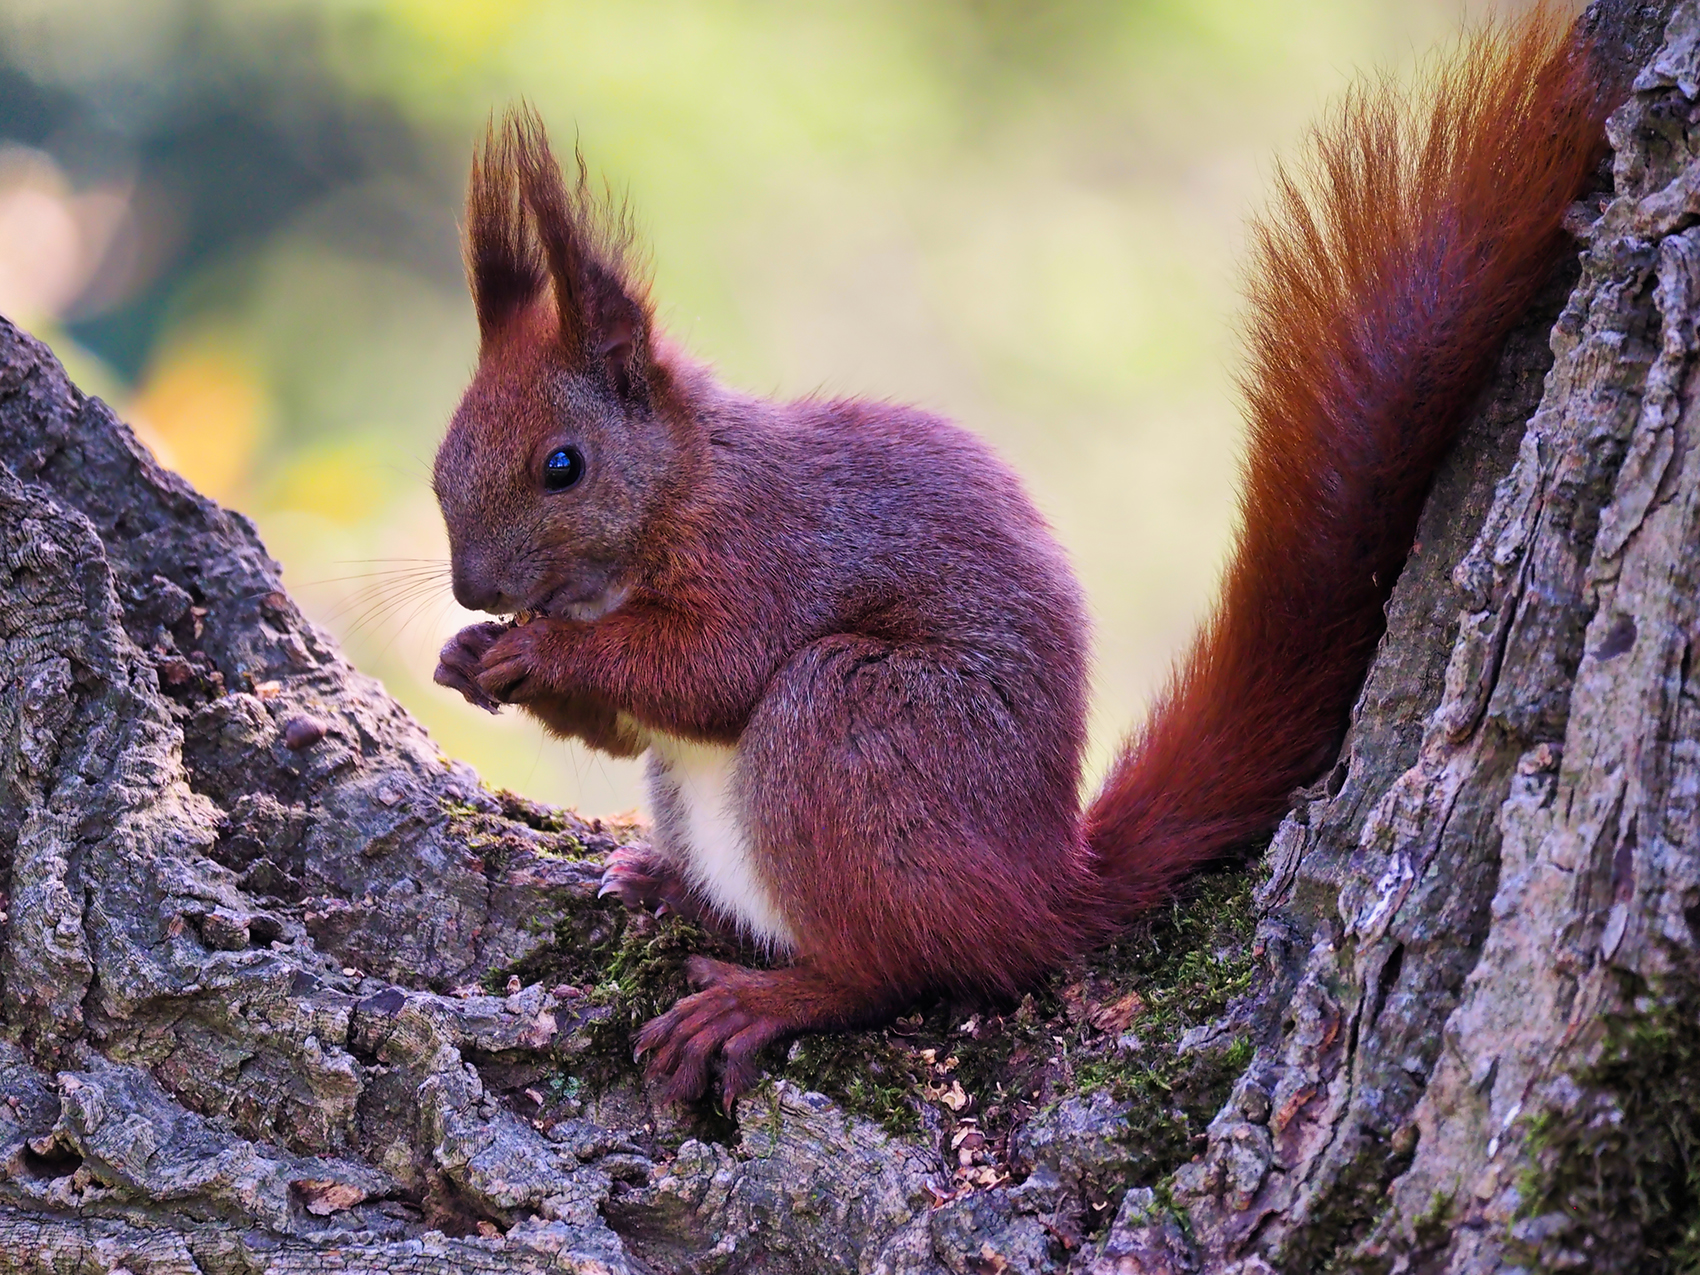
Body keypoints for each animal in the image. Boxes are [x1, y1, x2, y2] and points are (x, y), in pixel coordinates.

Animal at [431, 7, 1611, 1108]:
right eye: (443, 460)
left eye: (564, 466)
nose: (474, 587)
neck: (681, 490)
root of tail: (1037, 889)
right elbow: (630, 722)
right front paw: (467, 656)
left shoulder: (773, 551)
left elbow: (709, 670)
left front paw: (535, 654)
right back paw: (669, 886)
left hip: (857, 727)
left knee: (896, 964)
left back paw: (771, 995)